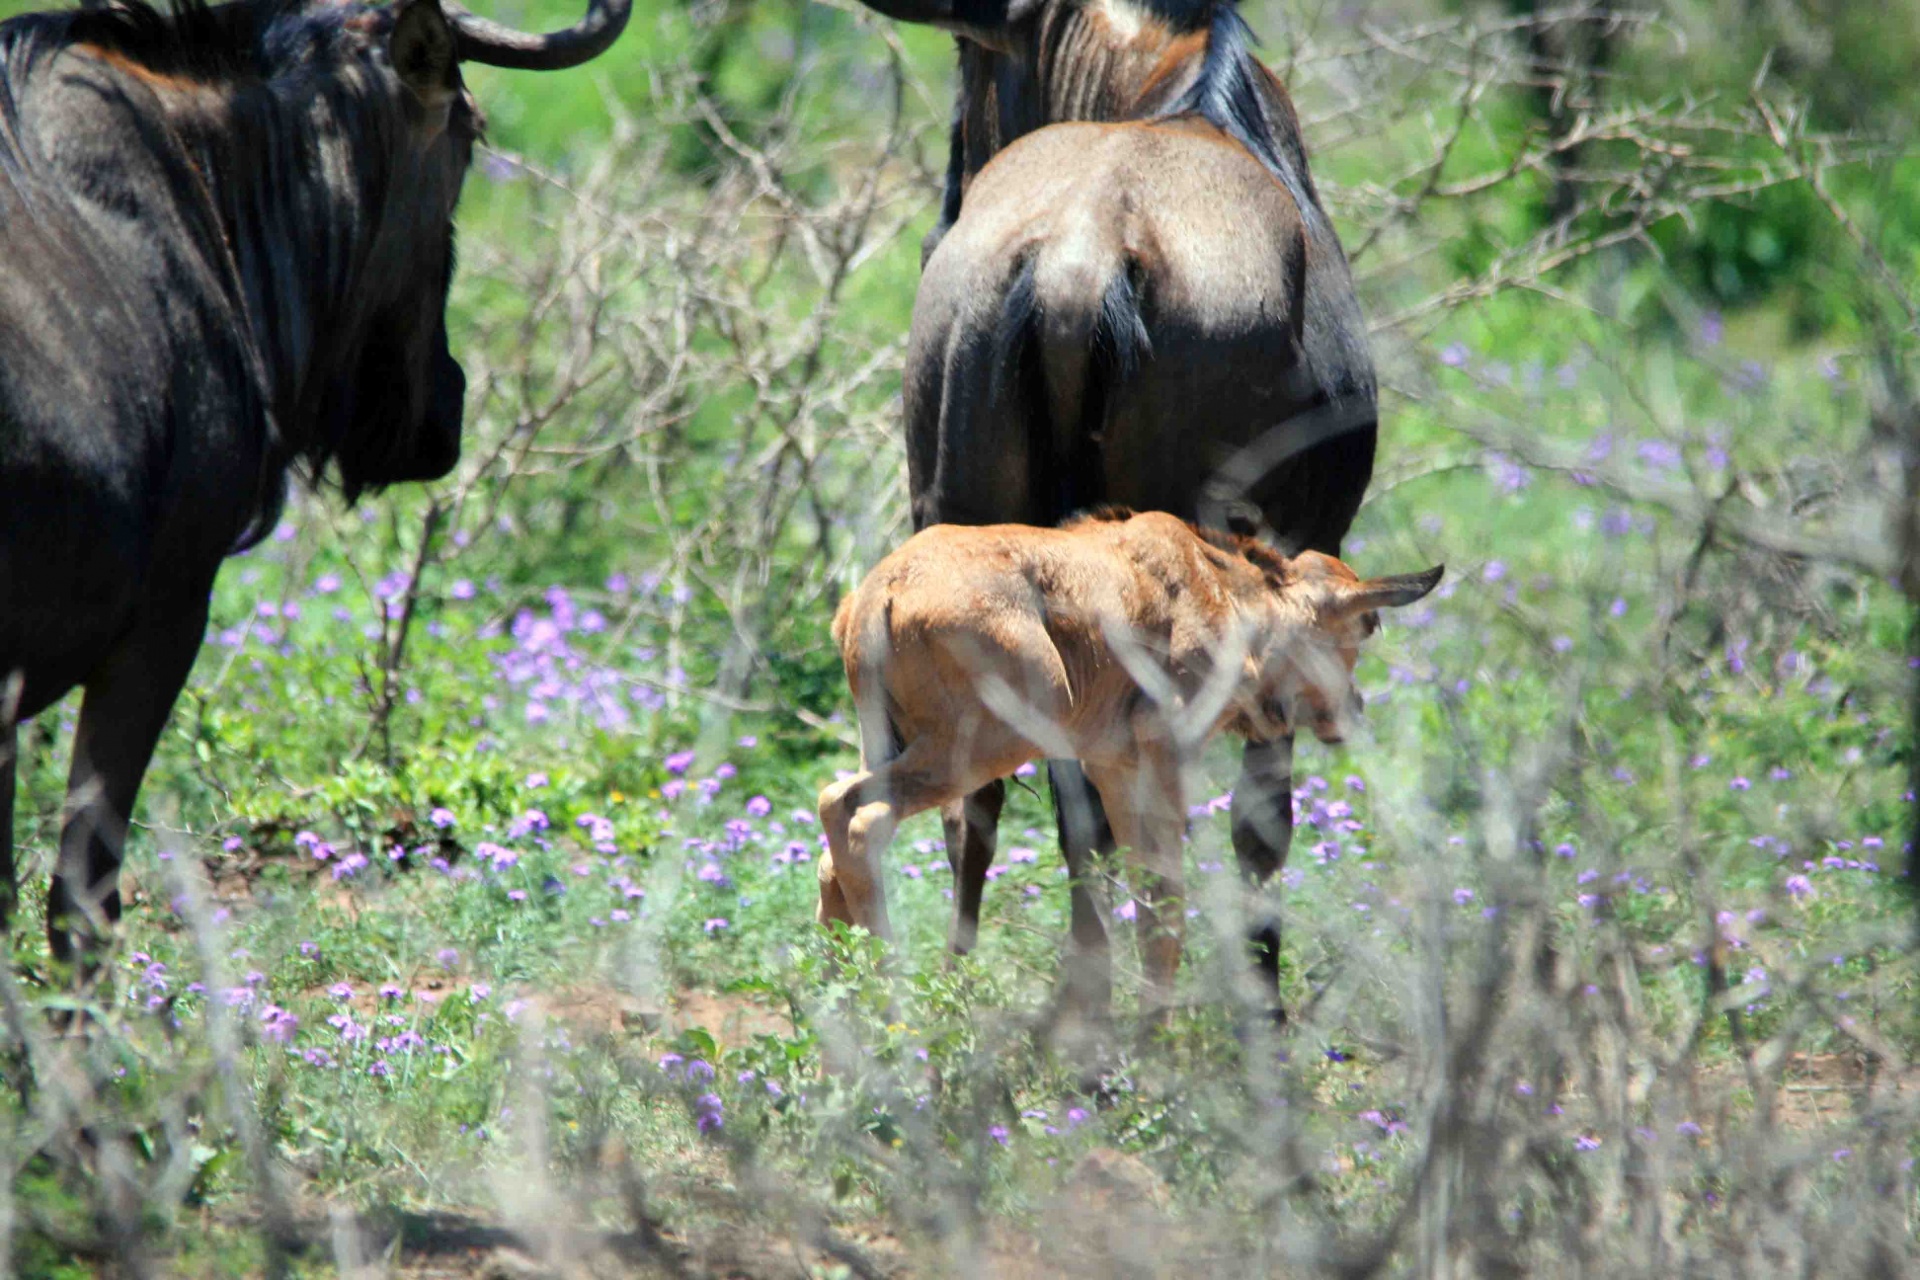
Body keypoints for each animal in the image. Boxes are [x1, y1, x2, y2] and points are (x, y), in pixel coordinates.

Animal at [814, 510, 1443, 1020]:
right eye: (1366, 626)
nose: (1353, 710)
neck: (1212, 586)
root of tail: (879, 591)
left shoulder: (1112, 767)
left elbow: (1136, 895)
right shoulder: (1165, 755)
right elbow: (1166, 907)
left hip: (896, 746)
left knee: (830, 834)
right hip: (981, 750)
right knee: (856, 814)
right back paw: (885, 1003)